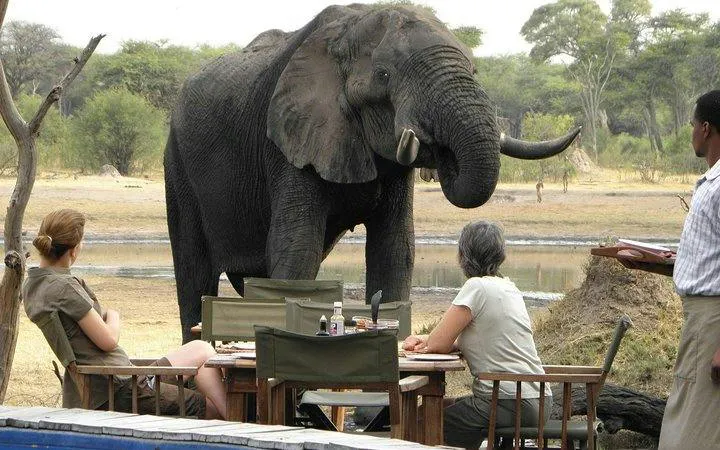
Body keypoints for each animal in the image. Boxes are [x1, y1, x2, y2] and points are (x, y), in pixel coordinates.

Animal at [164, 4, 579, 342]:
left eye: (474, 70)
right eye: (383, 75)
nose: (438, 149)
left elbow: (395, 249)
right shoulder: (288, 142)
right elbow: (298, 248)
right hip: (177, 161)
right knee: (194, 271)